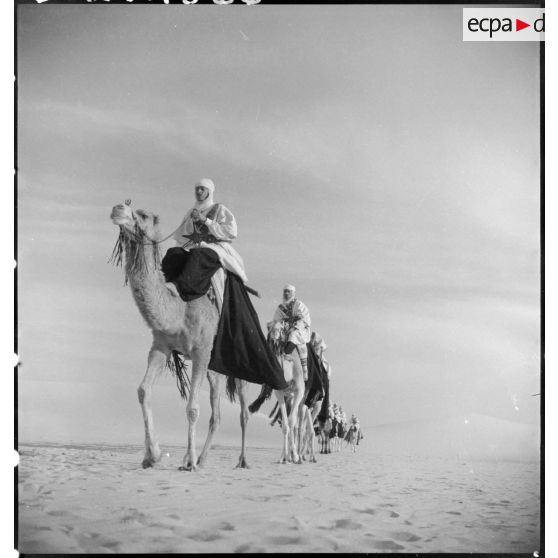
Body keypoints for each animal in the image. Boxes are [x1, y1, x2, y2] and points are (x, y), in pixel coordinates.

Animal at [110, 201, 250, 472]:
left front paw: (189, 463)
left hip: (236, 359)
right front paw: (152, 456)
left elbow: (193, 407)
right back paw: (200, 459)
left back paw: (240, 461)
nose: (117, 208)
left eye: (143, 215)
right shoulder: (161, 345)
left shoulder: (201, 351)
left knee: (243, 412)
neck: (180, 308)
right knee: (217, 414)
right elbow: (143, 390)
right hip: (215, 368)